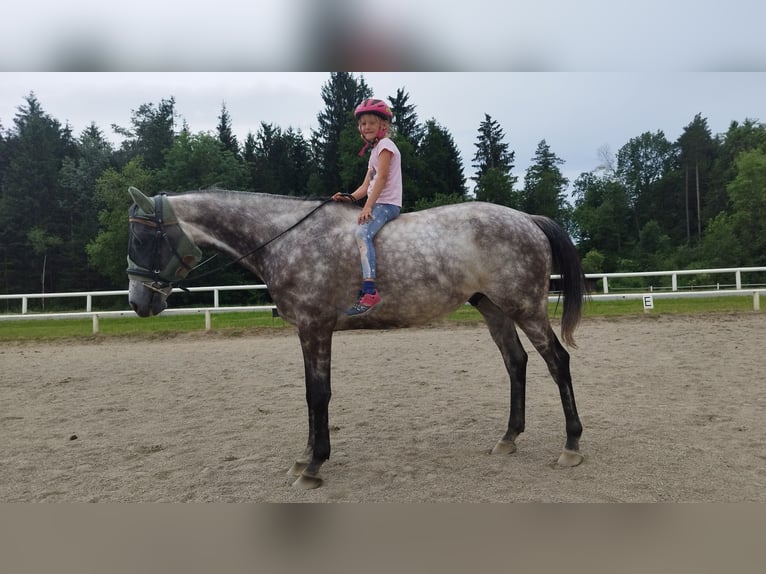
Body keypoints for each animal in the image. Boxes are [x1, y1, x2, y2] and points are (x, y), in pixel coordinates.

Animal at [127, 188, 588, 490]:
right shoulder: (307, 331)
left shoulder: (315, 328)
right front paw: (303, 459)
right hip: (493, 308)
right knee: (516, 362)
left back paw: (571, 445)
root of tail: (528, 219)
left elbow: (319, 395)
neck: (289, 238)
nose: (137, 301)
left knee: (557, 362)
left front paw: (314, 466)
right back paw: (509, 438)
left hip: (525, 308)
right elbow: (310, 394)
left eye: (143, 237)